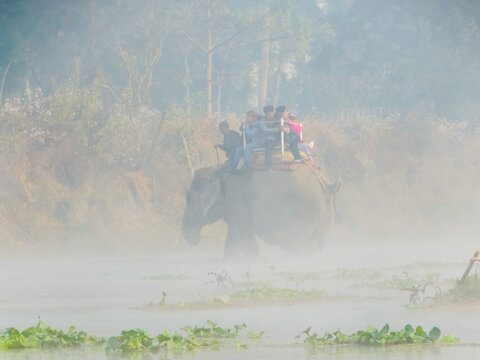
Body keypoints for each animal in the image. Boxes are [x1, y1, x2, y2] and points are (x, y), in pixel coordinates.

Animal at [181, 165, 342, 258]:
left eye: (188, 198)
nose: (188, 237)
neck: (219, 171)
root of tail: (328, 183)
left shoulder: (236, 200)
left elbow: (244, 238)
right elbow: (233, 240)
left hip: (303, 209)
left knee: (291, 243)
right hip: (325, 215)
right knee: (315, 244)